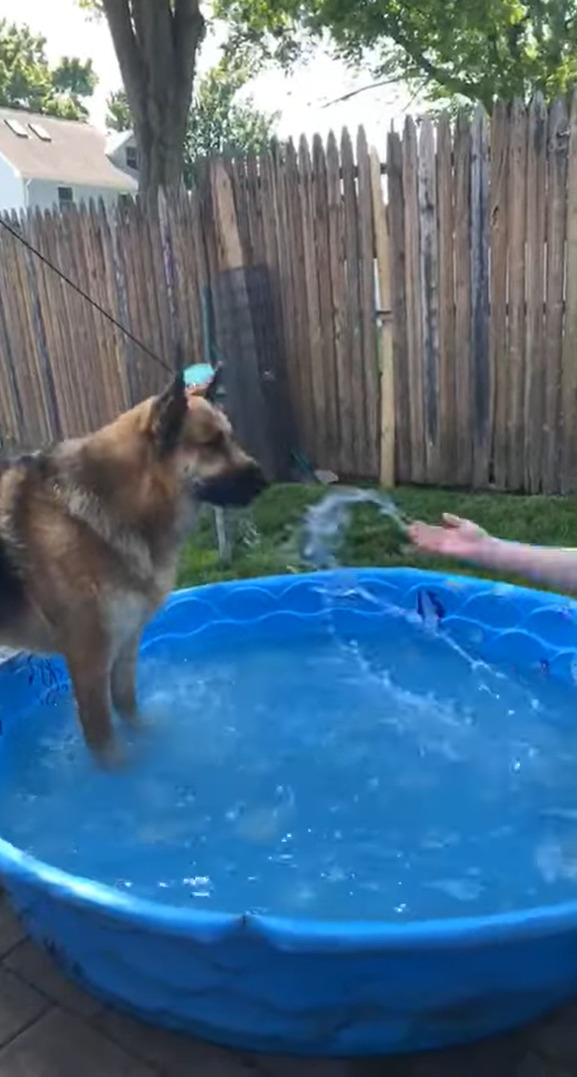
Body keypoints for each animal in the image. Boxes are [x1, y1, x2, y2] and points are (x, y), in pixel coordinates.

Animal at [0, 370, 265, 766]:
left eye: (230, 438)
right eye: (211, 443)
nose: (264, 481)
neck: (127, 500)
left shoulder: (125, 644)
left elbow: (128, 707)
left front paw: (150, 742)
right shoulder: (88, 661)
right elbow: (105, 741)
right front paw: (125, 776)